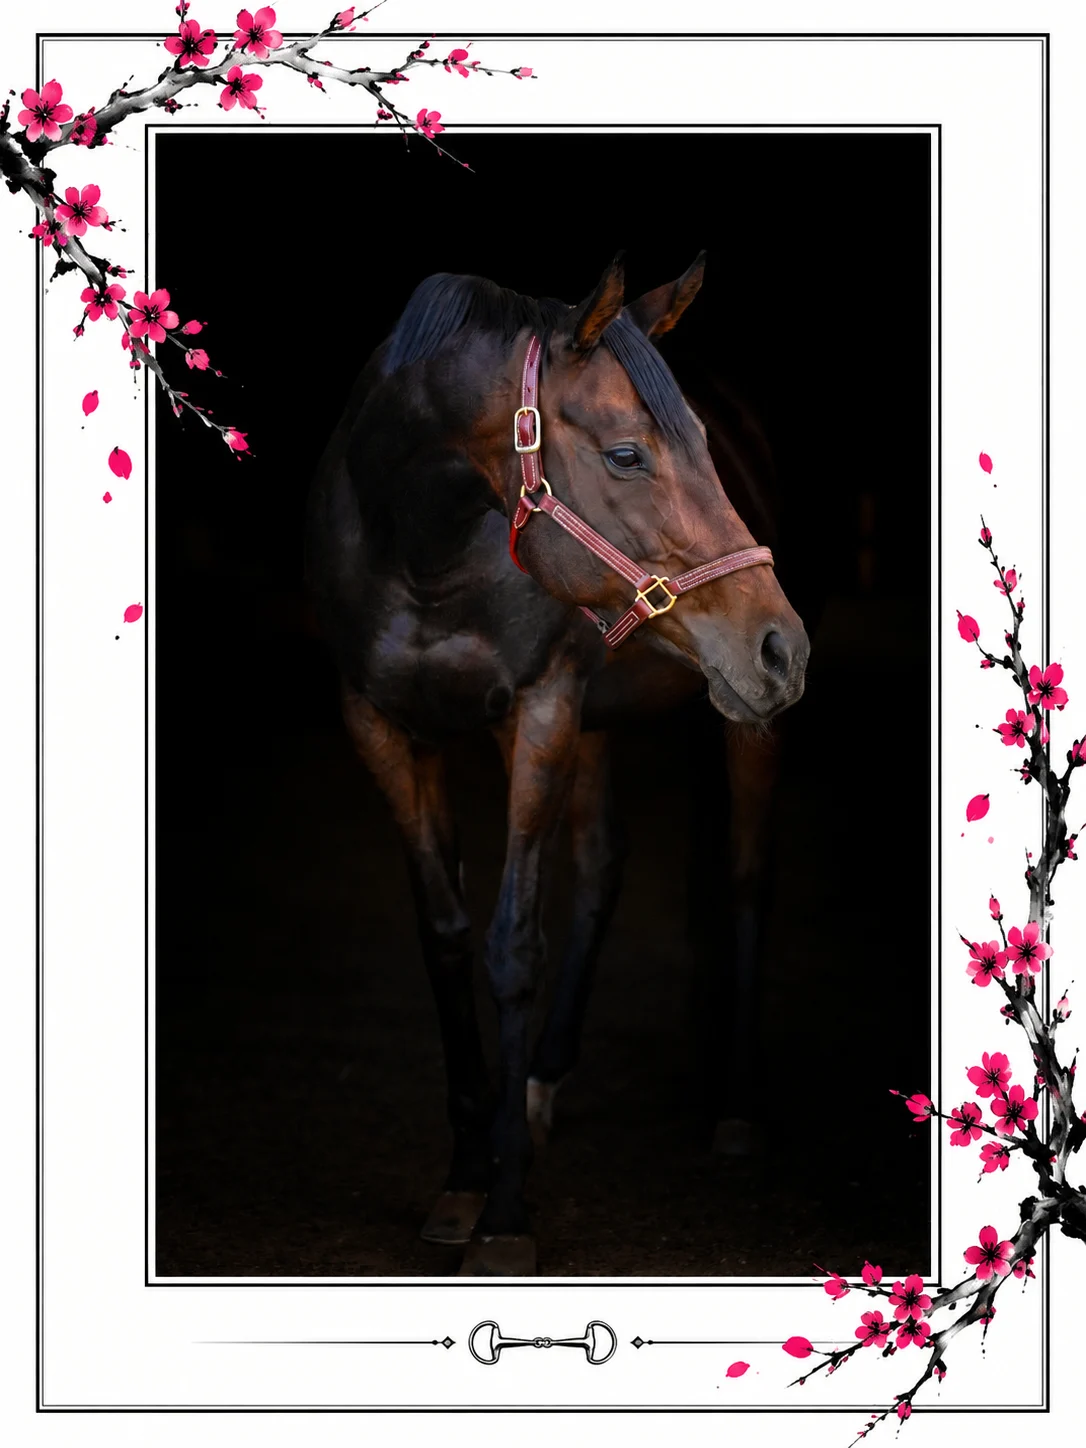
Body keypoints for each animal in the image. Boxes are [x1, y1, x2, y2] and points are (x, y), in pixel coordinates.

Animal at [305, 255, 809, 1275]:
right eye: (625, 455)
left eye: (702, 446)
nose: (784, 649)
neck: (426, 549)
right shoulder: (383, 727)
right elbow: (447, 937)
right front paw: (466, 1174)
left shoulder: (537, 716)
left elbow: (512, 945)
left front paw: (505, 1214)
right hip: (599, 718)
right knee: (605, 863)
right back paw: (540, 1082)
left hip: (737, 729)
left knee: (743, 882)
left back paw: (735, 1111)